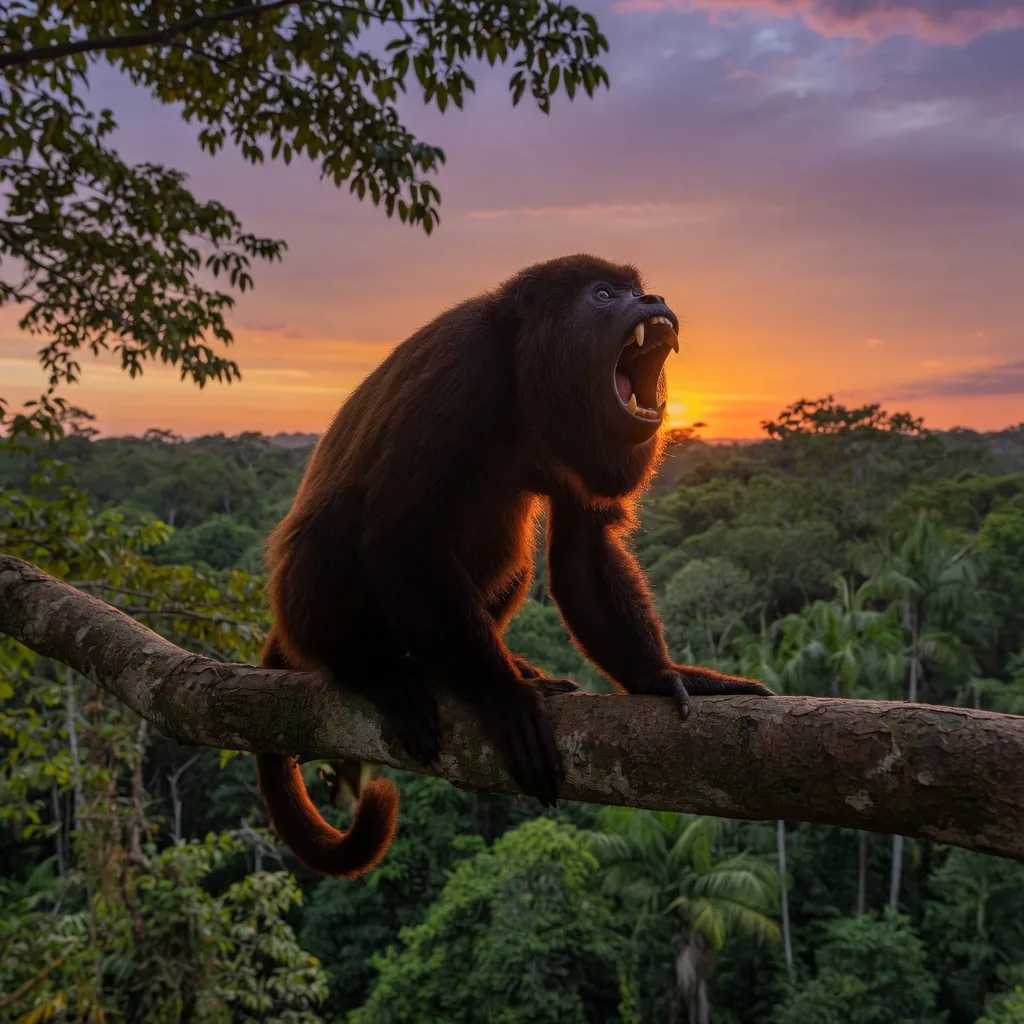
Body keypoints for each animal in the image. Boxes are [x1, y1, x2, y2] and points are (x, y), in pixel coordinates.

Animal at [255, 254, 773, 877]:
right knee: (344, 521)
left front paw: (660, 675)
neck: (526, 384)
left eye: (637, 289)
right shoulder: (465, 366)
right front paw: (502, 695)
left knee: (516, 562)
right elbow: (399, 532)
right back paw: (374, 671)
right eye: (604, 295)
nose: (653, 300)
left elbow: (583, 549)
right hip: (310, 614)